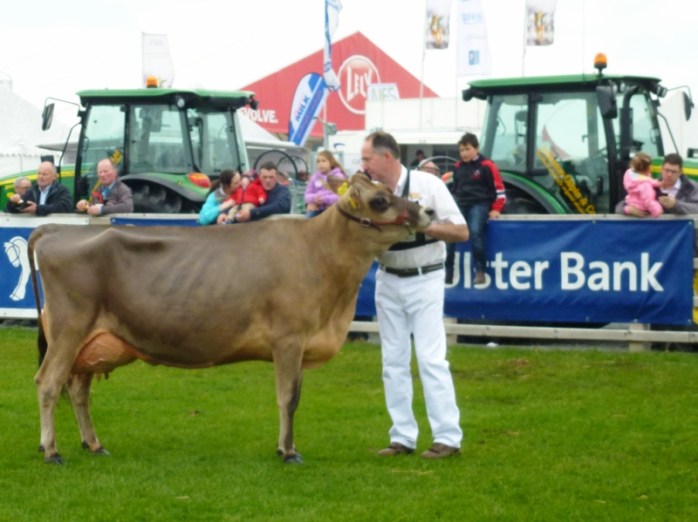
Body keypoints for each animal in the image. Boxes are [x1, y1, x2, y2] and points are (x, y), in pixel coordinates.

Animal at [28, 173, 432, 464]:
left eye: (390, 190)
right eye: (380, 200)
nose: (426, 212)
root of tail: (55, 230)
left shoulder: (301, 344)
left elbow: (295, 397)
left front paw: (285, 446)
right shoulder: (289, 338)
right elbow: (288, 398)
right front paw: (288, 452)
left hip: (89, 343)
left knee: (77, 390)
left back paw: (93, 444)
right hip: (69, 329)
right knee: (48, 383)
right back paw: (51, 450)